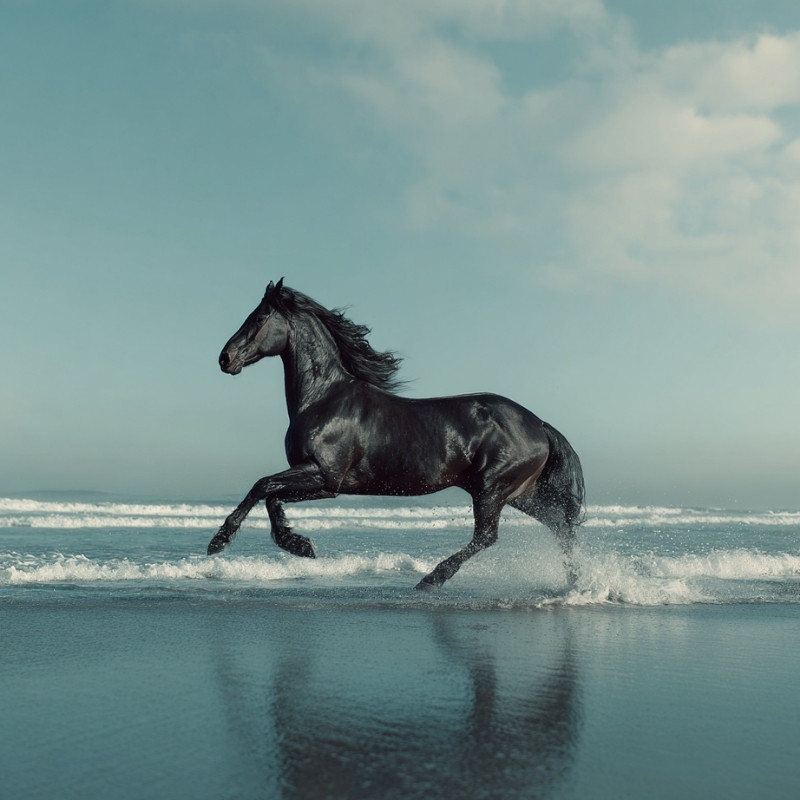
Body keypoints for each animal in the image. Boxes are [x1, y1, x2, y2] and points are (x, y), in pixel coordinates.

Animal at [208, 279, 585, 590]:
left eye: (259, 317)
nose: (225, 358)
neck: (324, 398)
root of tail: (539, 424)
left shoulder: (325, 477)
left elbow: (262, 486)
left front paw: (221, 542)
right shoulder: (320, 481)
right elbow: (271, 496)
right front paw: (299, 544)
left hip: (493, 491)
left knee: (489, 536)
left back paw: (432, 579)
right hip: (521, 493)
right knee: (560, 527)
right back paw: (575, 583)